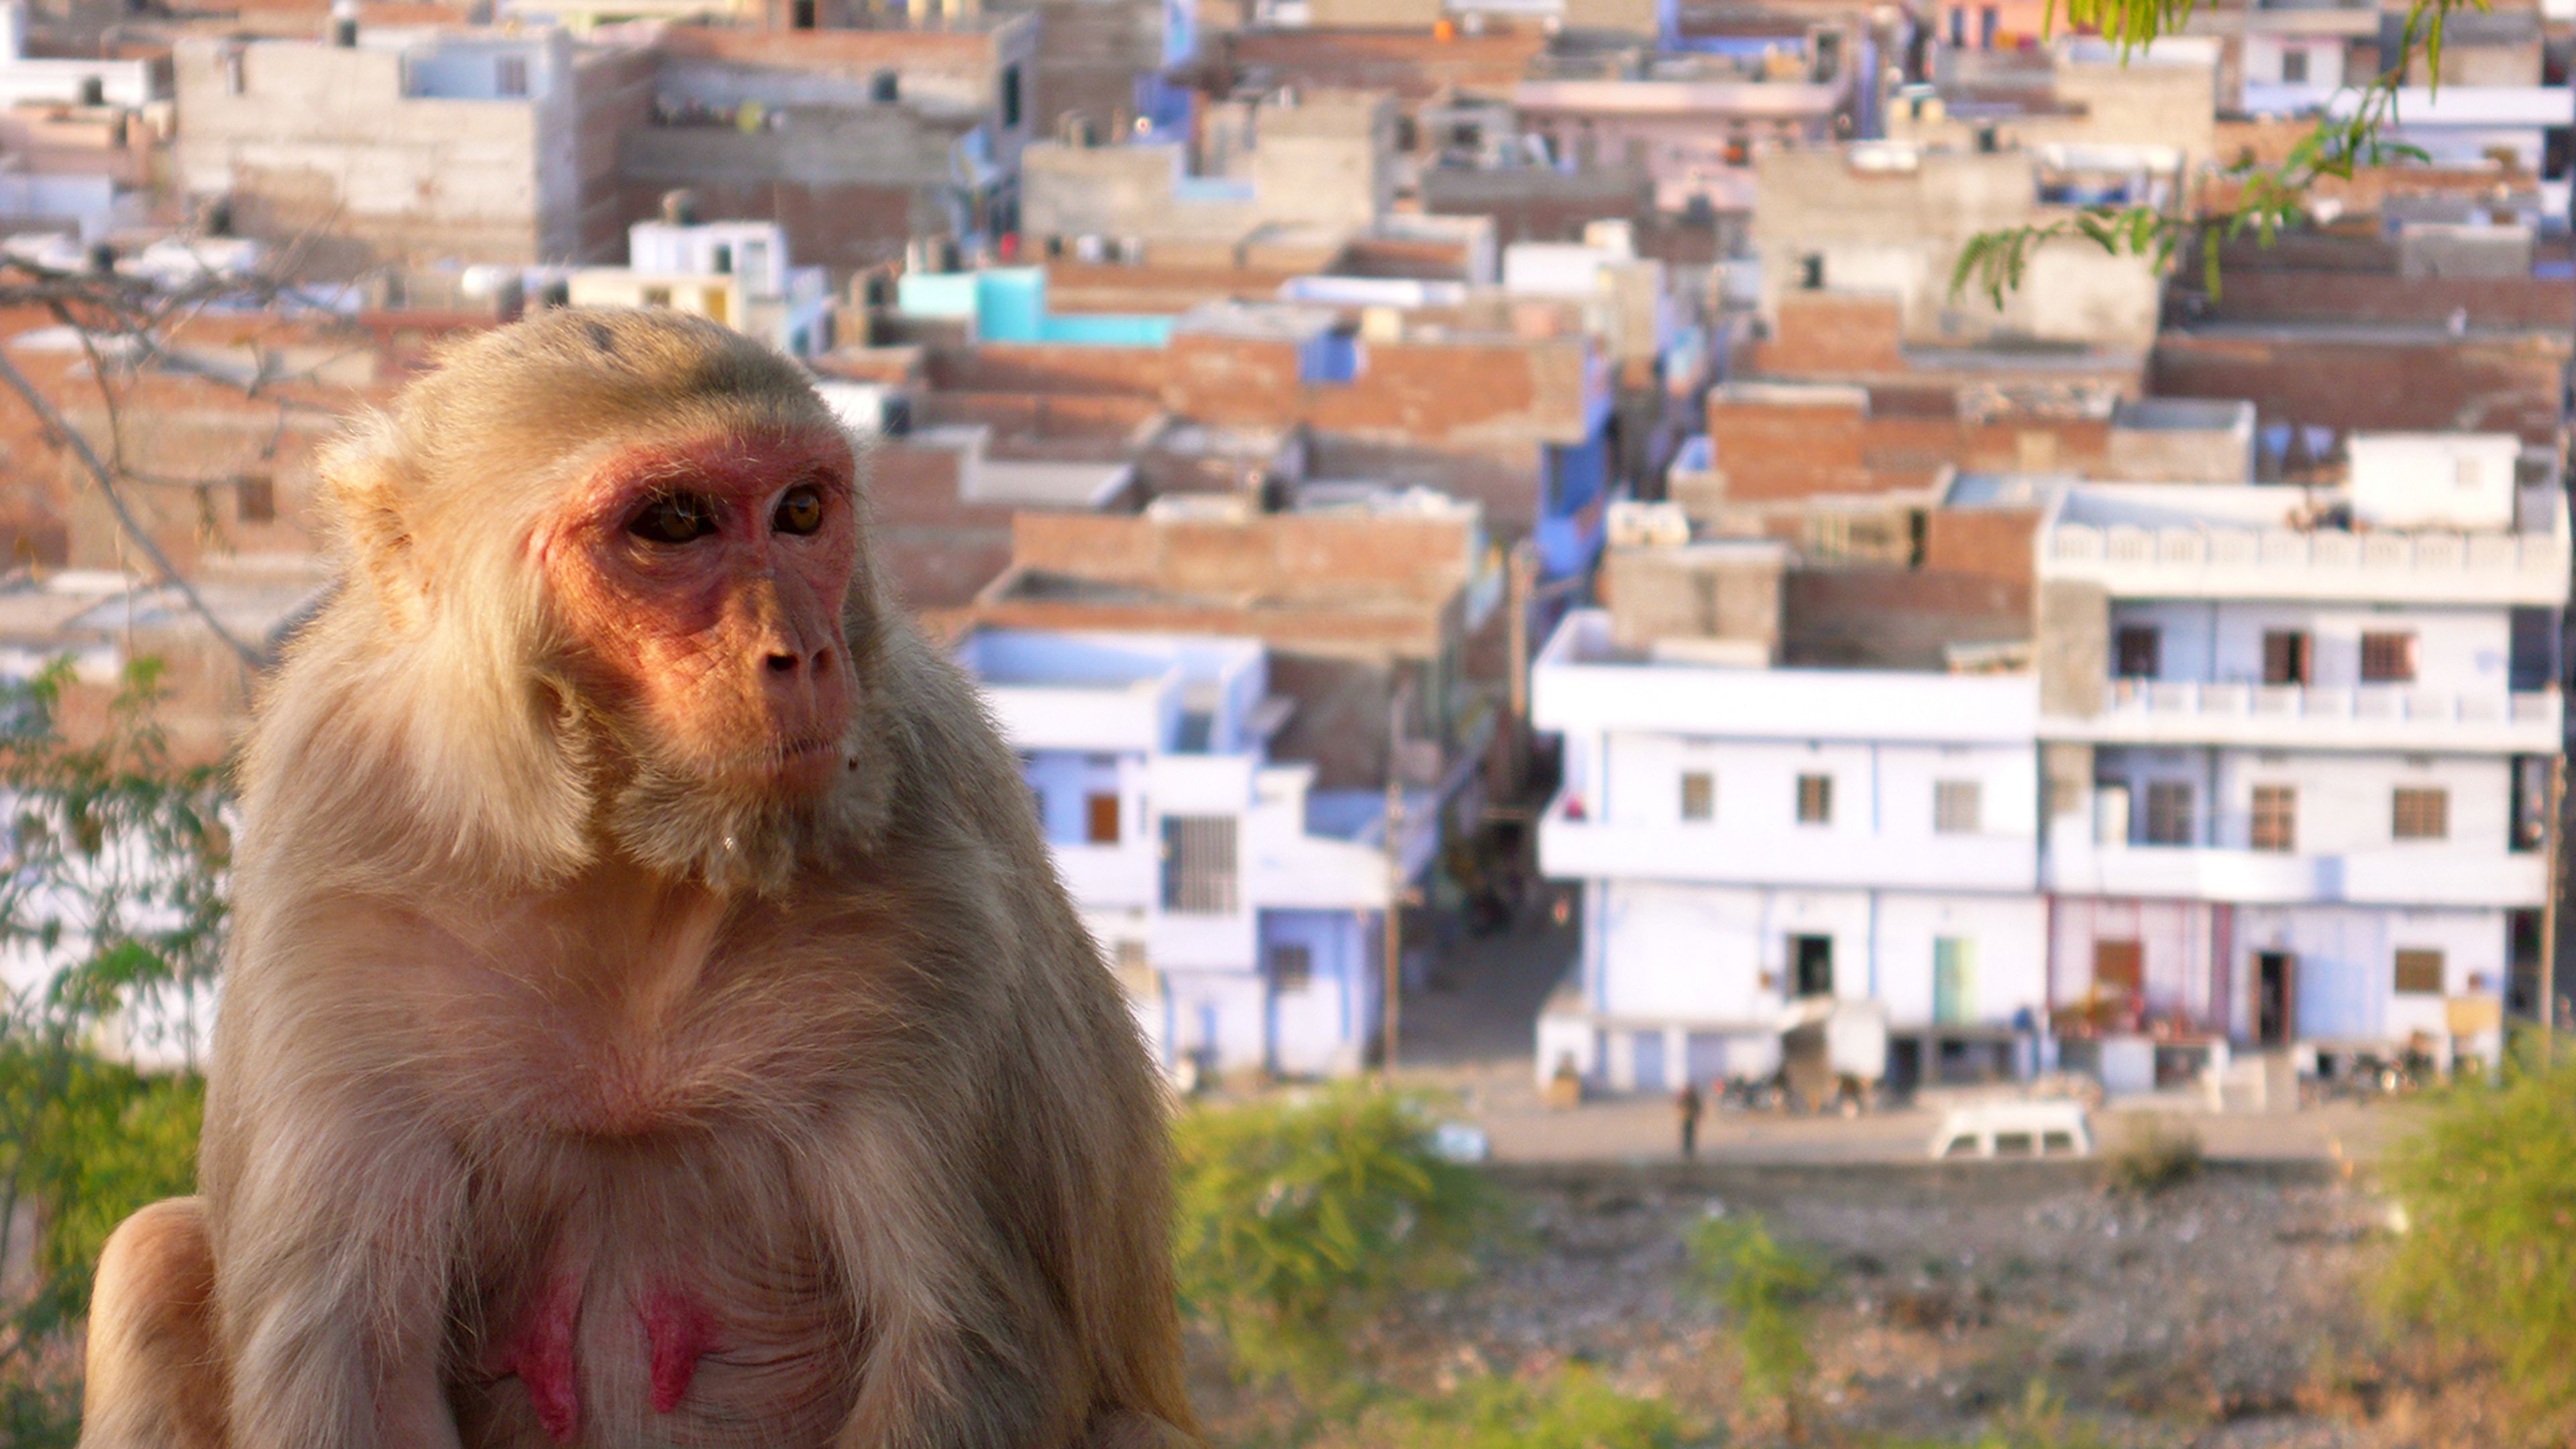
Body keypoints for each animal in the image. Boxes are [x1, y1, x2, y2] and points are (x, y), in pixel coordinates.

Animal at [78, 307, 1199, 1449]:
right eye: (673, 521)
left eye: (802, 511)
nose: (805, 651)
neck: (624, 864)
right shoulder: (330, 870)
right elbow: (359, 1366)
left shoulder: (937, 892)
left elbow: (961, 1346)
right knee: (153, 1259)